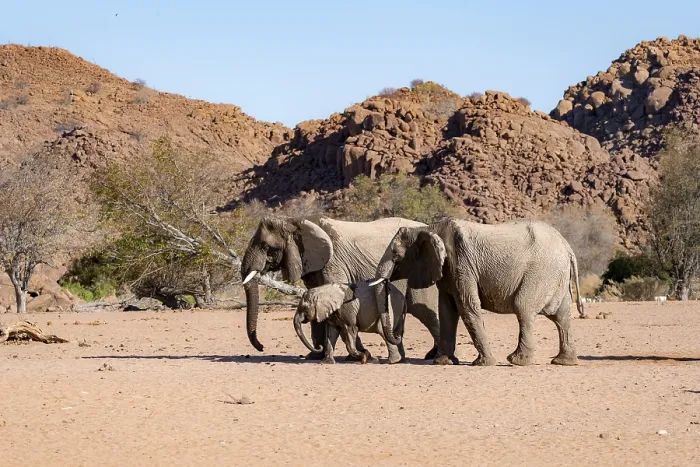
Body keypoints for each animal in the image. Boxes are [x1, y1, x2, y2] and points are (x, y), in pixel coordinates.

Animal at [240, 215, 440, 361]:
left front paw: (361, 355)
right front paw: (316, 356)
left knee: (426, 312)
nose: (261, 347)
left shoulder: (334, 262)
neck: (297, 221)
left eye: (265, 246)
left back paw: (434, 356)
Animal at [370, 217, 584, 367]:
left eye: (396, 256)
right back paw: (563, 362)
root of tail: (567, 247)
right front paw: (443, 362)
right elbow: (447, 311)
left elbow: (467, 307)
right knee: (562, 316)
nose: (398, 334)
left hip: (541, 272)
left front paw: (483, 364)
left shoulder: (460, 262)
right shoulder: (448, 271)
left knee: (523, 308)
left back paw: (517, 361)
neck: (429, 228)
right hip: (555, 276)